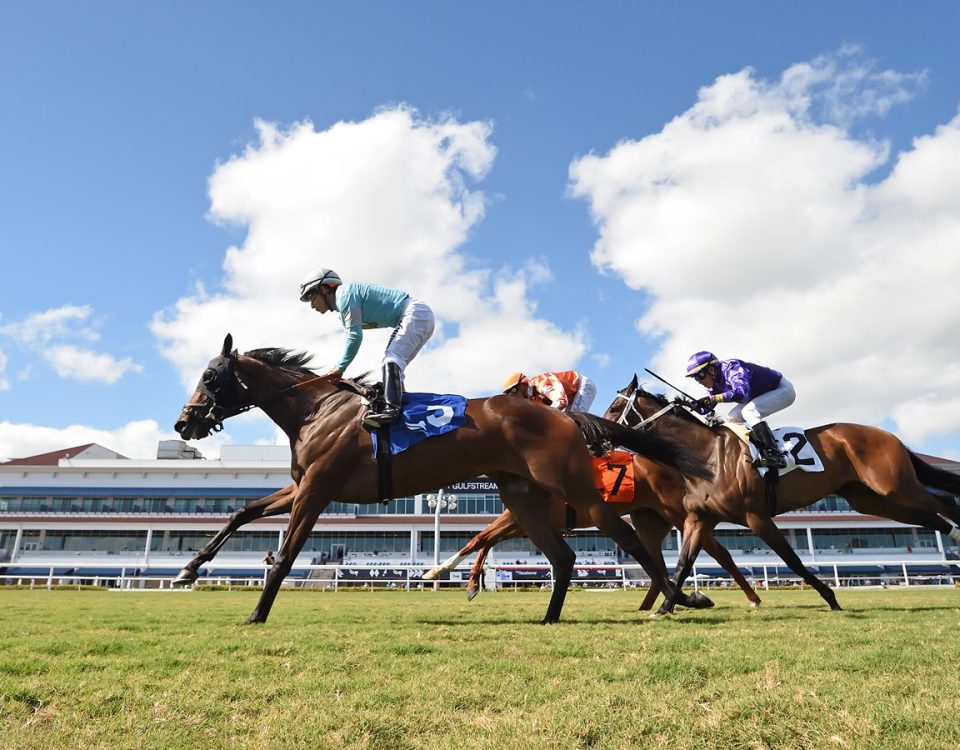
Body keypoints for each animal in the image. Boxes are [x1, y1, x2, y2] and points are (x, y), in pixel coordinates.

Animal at [174, 338, 712, 624]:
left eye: (210, 375)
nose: (184, 423)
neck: (318, 410)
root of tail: (565, 418)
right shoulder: (301, 486)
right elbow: (242, 512)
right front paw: (189, 569)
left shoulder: (317, 491)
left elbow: (285, 555)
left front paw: (256, 613)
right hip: (522, 498)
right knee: (562, 557)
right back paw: (551, 616)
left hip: (575, 491)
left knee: (630, 543)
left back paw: (677, 596)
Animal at [608, 376, 960, 616]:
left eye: (615, 407)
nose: (597, 432)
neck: (705, 457)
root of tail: (889, 435)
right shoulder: (698, 518)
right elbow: (683, 563)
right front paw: (666, 608)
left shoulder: (756, 516)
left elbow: (793, 559)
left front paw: (831, 598)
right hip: (871, 497)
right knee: (930, 518)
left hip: (894, 485)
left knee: (945, 502)